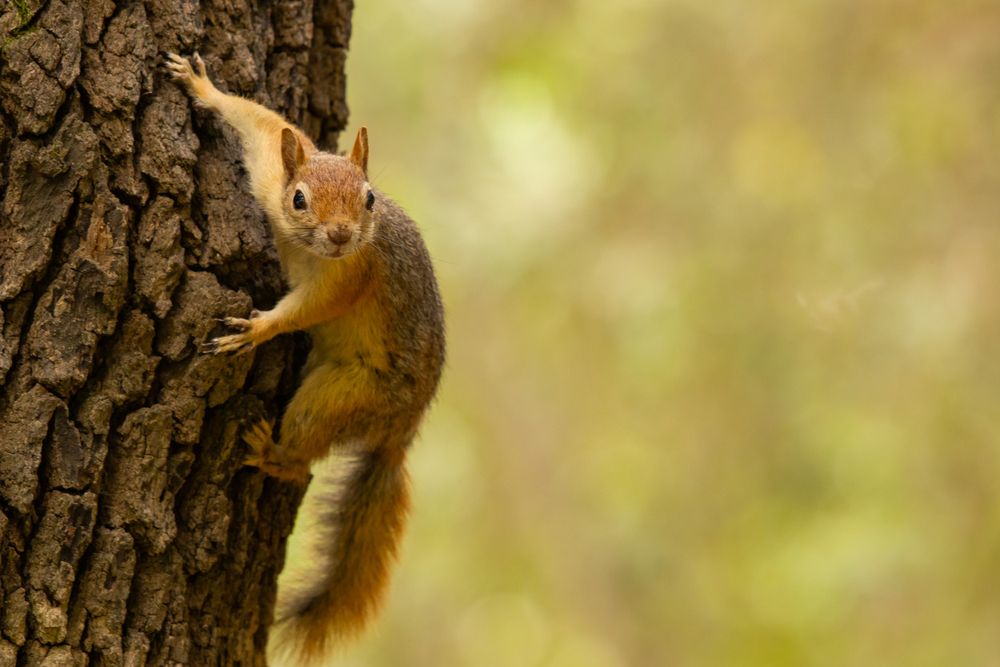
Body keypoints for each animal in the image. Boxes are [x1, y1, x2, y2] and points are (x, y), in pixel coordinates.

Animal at [165, 53, 445, 661]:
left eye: (369, 198)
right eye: (300, 198)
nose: (340, 235)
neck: (310, 248)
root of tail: (401, 431)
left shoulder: (350, 276)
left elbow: (309, 308)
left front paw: (258, 329)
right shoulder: (271, 174)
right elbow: (261, 124)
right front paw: (203, 86)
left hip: (341, 397)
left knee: (304, 462)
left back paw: (271, 452)